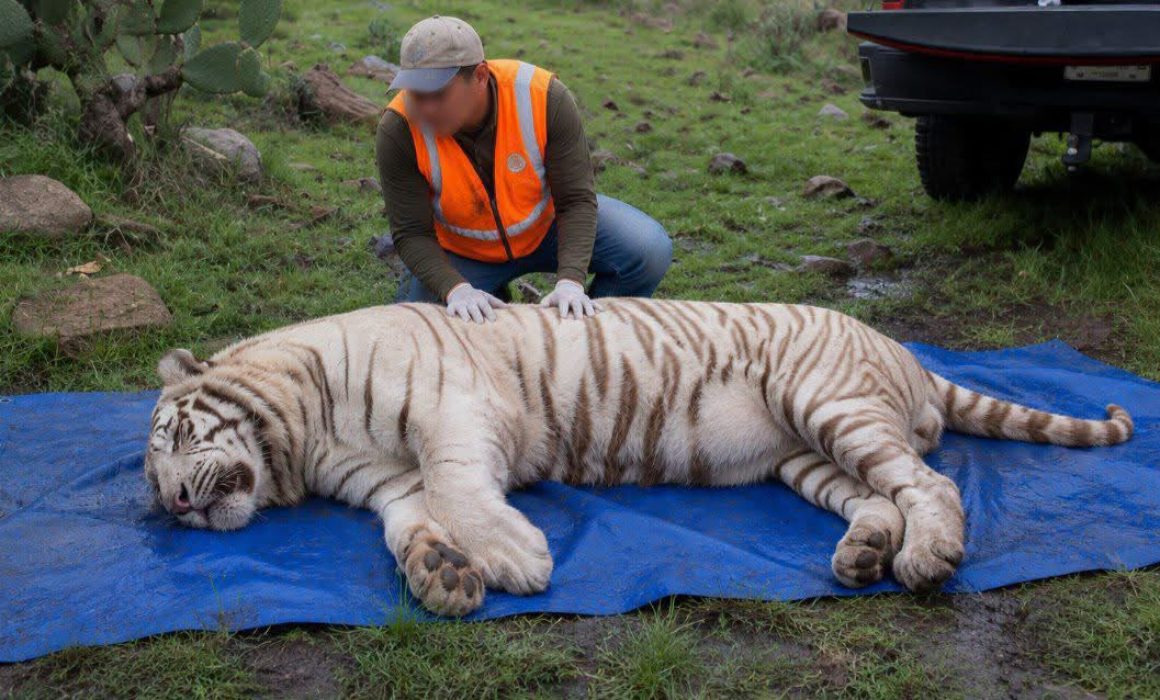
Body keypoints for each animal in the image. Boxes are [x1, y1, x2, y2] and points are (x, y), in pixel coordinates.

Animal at [145, 299, 1133, 616]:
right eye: (154, 492)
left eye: (176, 443)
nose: (178, 508)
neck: (303, 439)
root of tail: (910, 353)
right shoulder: (388, 483)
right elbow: (409, 522)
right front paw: (443, 575)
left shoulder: (450, 410)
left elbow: (458, 487)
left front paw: (513, 559)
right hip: (803, 455)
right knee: (878, 495)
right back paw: (863, 556)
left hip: (826, 402)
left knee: (930, 482)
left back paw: (927, 558)